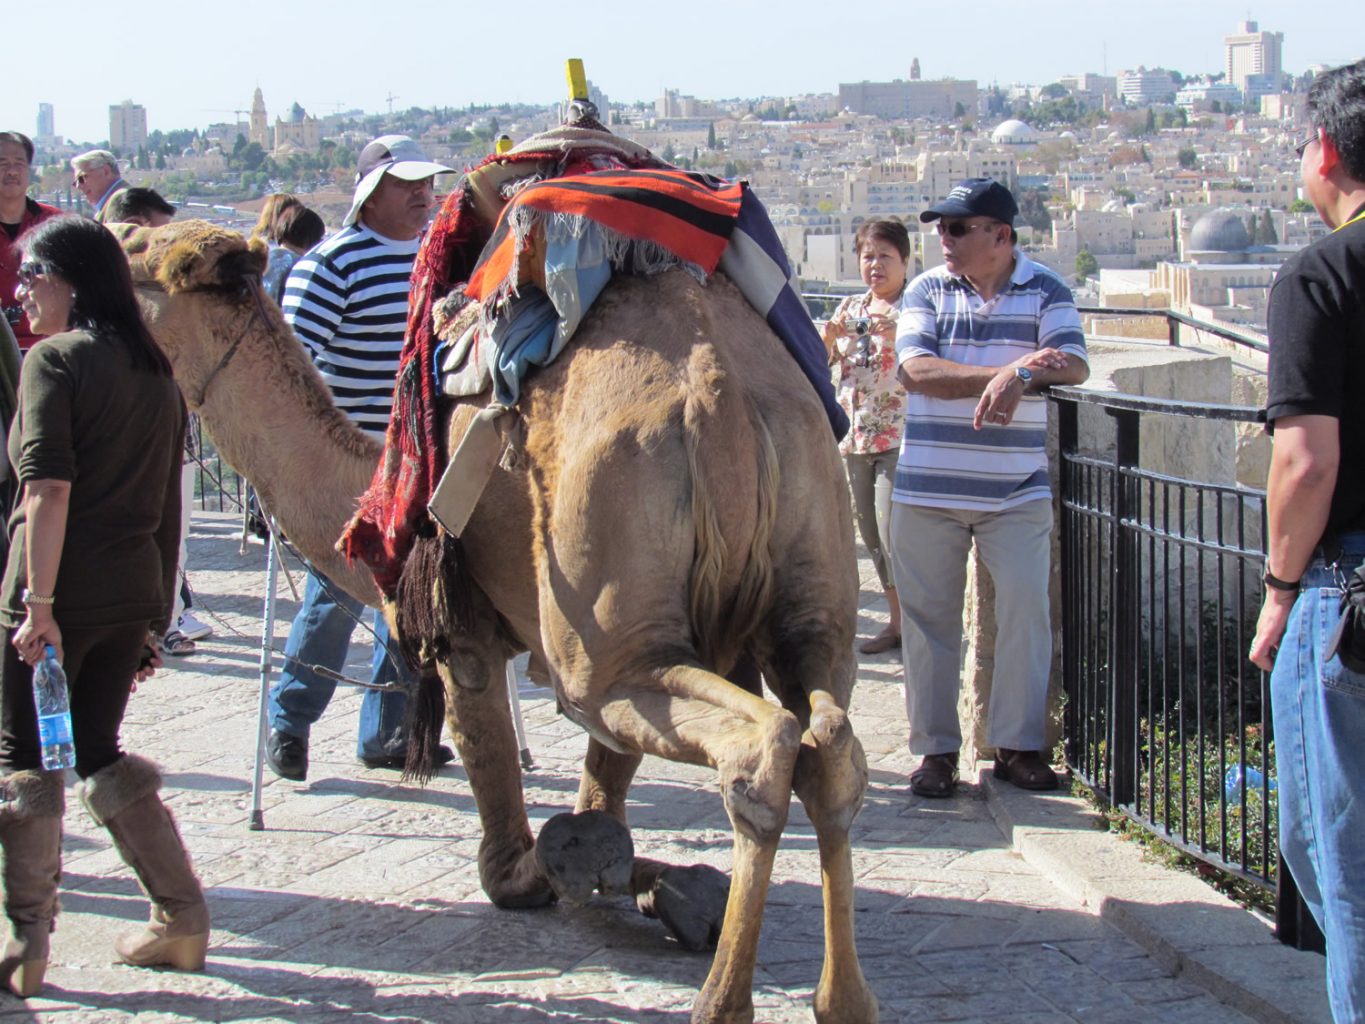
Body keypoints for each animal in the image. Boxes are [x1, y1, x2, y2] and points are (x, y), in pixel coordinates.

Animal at [119, 219, 877, 1024]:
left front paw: (559, 873)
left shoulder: (466, 629)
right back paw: (841, 1000)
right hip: (800, 591)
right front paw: (643, 876)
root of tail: (720, 398)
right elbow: (605, 780)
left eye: (131, 253)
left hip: (604, 631)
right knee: (827, 742)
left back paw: (720, 1002)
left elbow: (494, 779)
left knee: (757, 746)